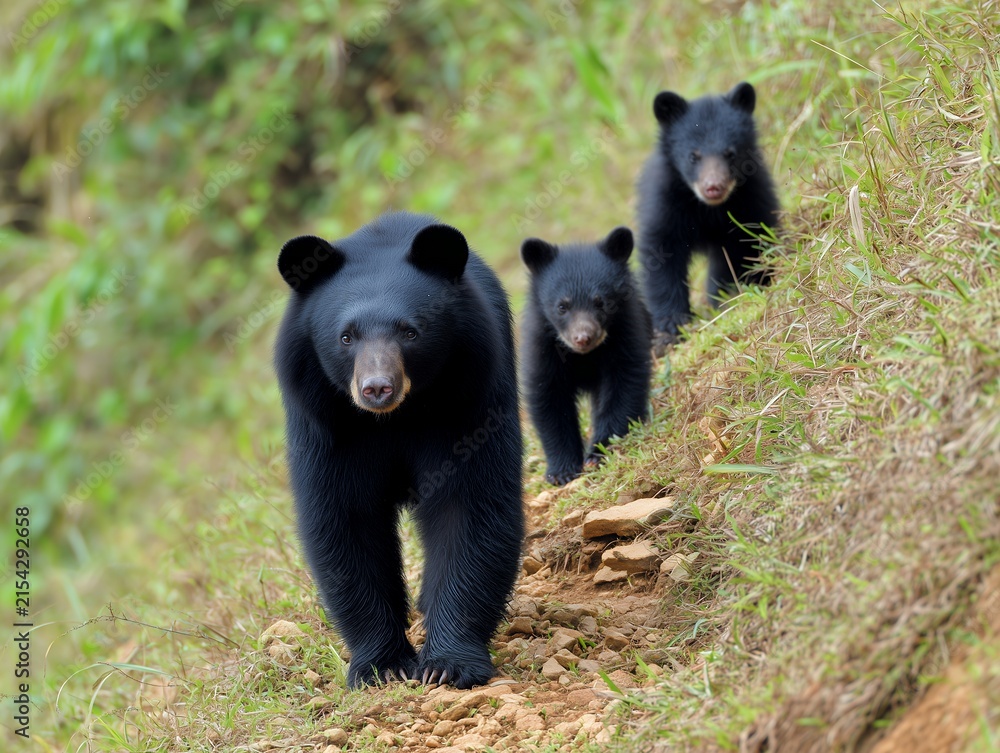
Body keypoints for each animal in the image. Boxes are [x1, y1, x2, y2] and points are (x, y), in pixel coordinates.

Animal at [273, 212, 524, 689]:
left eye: (410, 332)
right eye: (346, 337)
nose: (377, 388)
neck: (397, 418)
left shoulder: (468, 403)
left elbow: (468, 506)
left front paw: (448, 664)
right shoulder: (328, 425)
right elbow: (346, 521)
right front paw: (382, 666)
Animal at [520, 226, 652, 486]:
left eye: (601, 302)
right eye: (562, 306)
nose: (583, 338)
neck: (584, 356)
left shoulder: (626, 333)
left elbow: (624, 384)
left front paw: (599, 452)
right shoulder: (543, 346)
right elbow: (549, 399)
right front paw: (561, 471)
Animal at [637, 81, 780, 349]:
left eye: (730, 153)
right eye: (693, 156)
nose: (713, 187)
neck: (707, 209)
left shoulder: (751, 198)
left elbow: (751, 240)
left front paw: (739, 290)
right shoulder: (664, 204)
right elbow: (660, 255)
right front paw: (671, 324)